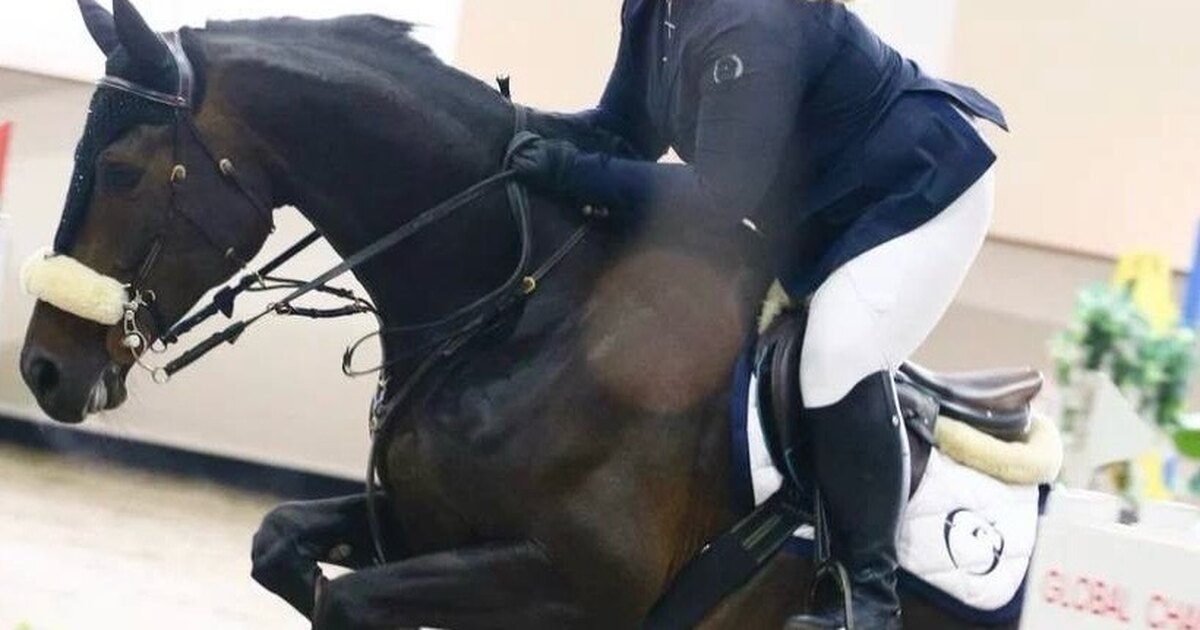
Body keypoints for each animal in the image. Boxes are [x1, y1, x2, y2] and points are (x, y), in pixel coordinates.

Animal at [18, 2, 1022, 628]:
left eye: (121, 172)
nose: (43, 369)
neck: (525, 313)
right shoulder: (423, 527)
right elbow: (279, 543)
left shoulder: (579, 582)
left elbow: (346, 601)